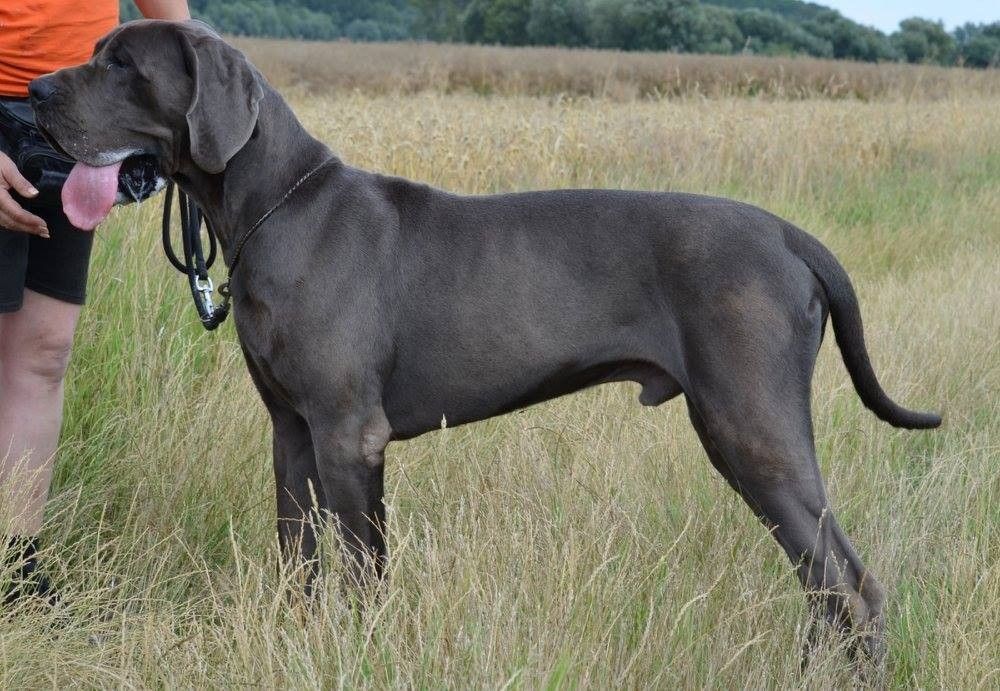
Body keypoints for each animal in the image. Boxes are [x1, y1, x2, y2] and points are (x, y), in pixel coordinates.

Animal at [29, 20, 941, 663]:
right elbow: (301, 563)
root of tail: (791, 235)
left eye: (122, 64)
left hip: (750, 427)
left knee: (853, 585)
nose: (33, 90)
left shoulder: (349, 434)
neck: (277, 204)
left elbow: (362, 571)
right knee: (826, 586)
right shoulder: (291, 433)